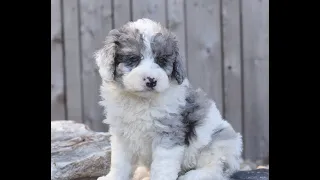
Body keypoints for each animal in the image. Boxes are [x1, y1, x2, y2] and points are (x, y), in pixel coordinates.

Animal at [95, 18, 242, 180]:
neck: (141, 100)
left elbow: (162, 165)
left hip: (218, 143)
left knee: (216, 168)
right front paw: (113, 177)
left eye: (161, 60)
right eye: (133, 59)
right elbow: (119, 162)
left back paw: (192, 176)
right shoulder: (121, 135)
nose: (151, 80)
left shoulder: (168, 133)